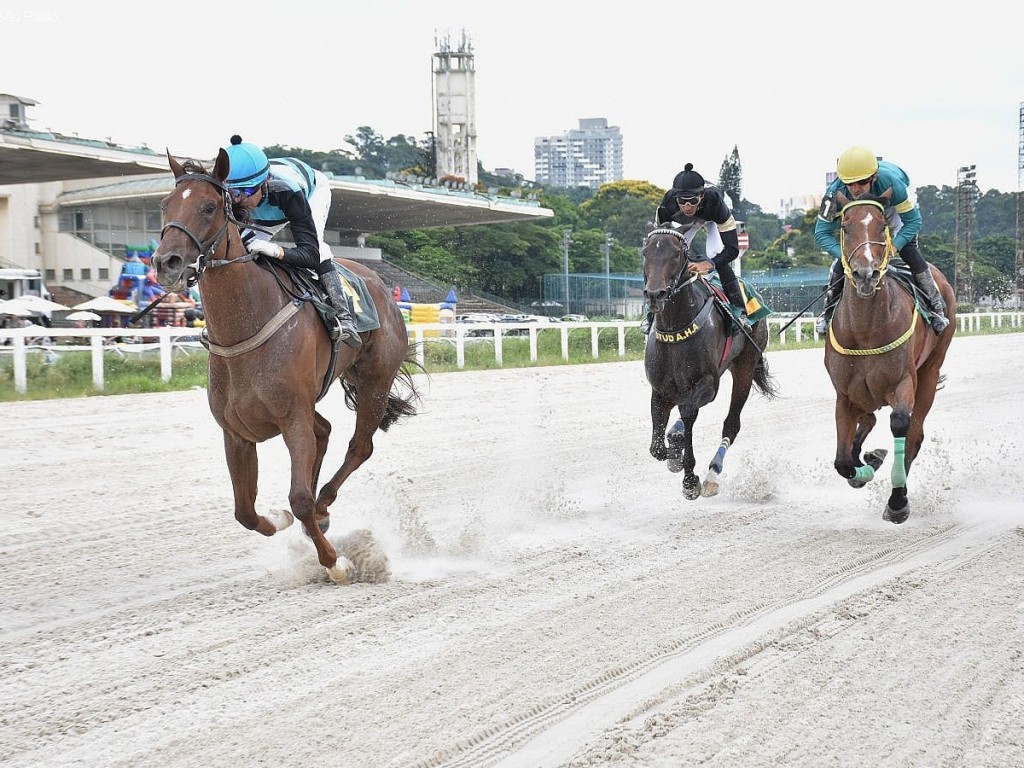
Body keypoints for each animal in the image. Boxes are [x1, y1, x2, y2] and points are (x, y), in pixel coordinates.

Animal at [149, 148, 419, 581]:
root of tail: (381, 285)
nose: (166, 262)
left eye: (208, 207)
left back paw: (326, 505)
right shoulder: (236, 432)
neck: (243, 330)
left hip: (375, 381)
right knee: (324, 432)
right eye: (164, 205)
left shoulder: (292, 419)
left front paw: (336, 563)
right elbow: (245, 511)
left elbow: (301, 499)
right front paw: (281, 520)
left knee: (358, 447)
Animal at [638, 225, 774, 499]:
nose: (655, 294)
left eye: (676, 254)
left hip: (745, 366)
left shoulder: (708, 384)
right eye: (645, 252)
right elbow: (657, 448)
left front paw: (690, 478)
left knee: (731, 424)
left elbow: (688, 416)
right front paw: (674, 454)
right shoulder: (660, 390)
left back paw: (712, 474)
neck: (675, 329)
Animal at [823, 196, 958, 524]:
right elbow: (842, 461)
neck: (865, 330)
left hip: (930, 372)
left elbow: (900, 424)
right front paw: (865, 465)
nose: (866, 274)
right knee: (869, 419)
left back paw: (897, 495)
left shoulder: (903, 381)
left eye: (882, 225)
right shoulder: (844, 394)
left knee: (914, 434)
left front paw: (897, 501)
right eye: (845, 227)